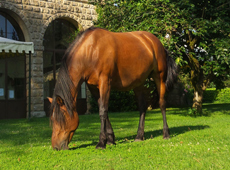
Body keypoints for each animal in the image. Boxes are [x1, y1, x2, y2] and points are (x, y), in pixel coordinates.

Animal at [48, 27, 178, 151]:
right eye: (52, 120)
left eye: (61, 119)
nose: (56, 146)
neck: (91, 51)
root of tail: (156, 41)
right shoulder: (93, 87)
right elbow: (104, 111)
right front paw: (110, 139)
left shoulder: (105, 83)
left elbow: (103, 111)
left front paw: (101, 143)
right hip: (138, 83)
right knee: (142, 107)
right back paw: (139, 136)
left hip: (159, 77)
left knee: (162, 104)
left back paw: (166, 134)